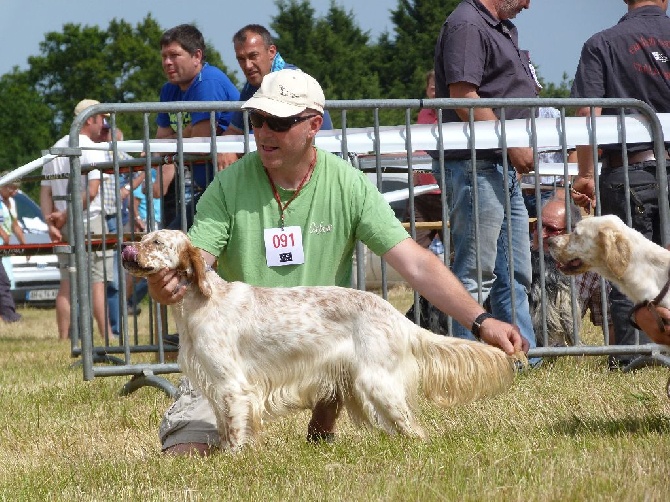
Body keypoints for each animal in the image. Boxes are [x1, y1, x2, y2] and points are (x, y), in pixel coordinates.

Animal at [122, 229, 520, 450]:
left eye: (156, 241)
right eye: (141, 238)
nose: (126, 248)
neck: (200, 302)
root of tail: (395, 316)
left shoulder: (233, 386)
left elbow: (235, 432)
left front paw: (234, 460)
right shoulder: (215, 387)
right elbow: (224, 429)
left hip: (377, 382)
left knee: (414, 430)